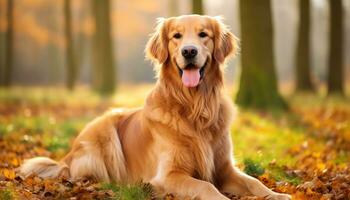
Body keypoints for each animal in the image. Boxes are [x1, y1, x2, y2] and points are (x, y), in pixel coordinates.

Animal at [19, 14, 292, 199]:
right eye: (176, 36)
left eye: (203, 34)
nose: (189, 51)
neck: (195, 106)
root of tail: (66, 156)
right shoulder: (169, 175)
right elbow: (205, 186)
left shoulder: (224, 168)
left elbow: (254, 182)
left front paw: (277, 195)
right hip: (104, 132)